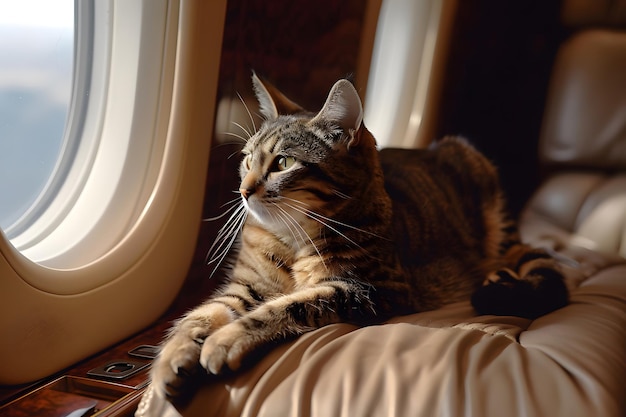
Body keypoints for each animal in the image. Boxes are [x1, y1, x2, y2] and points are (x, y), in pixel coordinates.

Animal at [150, 73, 564, 398]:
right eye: (248, 159)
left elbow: (288, 306)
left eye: (283, 162)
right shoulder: (247, 286)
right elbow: (201, 315)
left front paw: (225, 340)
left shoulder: (371, 288)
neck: (291, 239)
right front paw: (174, 357)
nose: (244, 190)